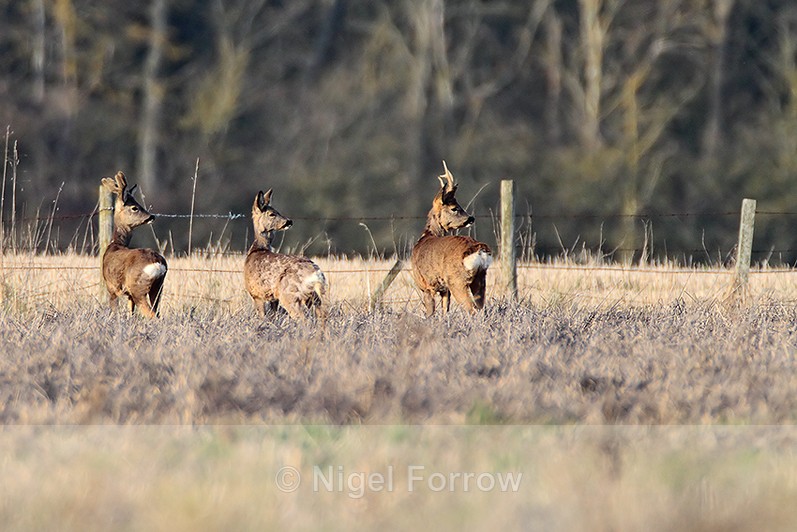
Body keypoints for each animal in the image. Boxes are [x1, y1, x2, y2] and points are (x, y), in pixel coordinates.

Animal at [100, 171, 167, 318]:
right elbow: (130, 312)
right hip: (158, 287)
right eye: (135, 207)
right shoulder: (129, 295)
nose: (151, 216)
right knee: (157, 312)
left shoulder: (112, 288)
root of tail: (158, 263)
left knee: (151, 315)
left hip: (138, 288)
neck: (115, 245)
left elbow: (114, 310)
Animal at [244, 189, 327, 320]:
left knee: (303, 318)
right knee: (322, 316)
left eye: (277, 212)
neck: (257, 249)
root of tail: (316, 274)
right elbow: (273, 316)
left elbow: (262, 316)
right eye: (272, 214)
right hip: (314, 296)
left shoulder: (256, 294)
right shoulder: (273, 298)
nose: (289, 221)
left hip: (289, 294)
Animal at [411, 161, 492, 317]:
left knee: (471, 309)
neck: (427, 236)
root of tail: (479, 249)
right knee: (481, 308)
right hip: (480, 279)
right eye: (455, 208)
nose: (471, 218)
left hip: (457, 281)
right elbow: (445, 311)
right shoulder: (445, 289)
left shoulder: (426, 285)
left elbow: (430, 314)